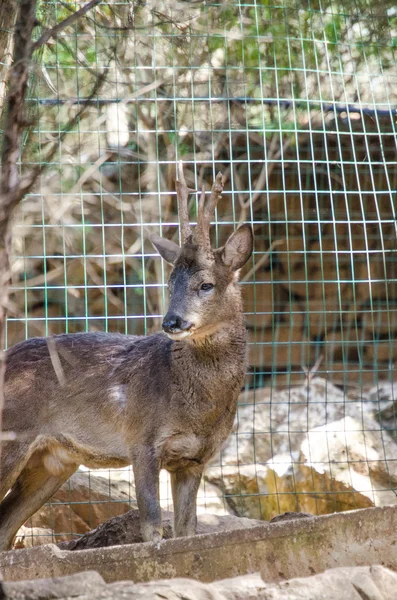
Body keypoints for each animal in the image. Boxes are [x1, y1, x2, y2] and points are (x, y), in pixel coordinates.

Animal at [0, 163, 252, 548]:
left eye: (206, 284)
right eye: (170, 283)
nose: (171, 321)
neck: (196, 409)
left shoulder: (195, 459)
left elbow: (186, 529)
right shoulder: (141, 440)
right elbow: (152, 526)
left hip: (52, 462)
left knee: (5, 527)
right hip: (10, 436)